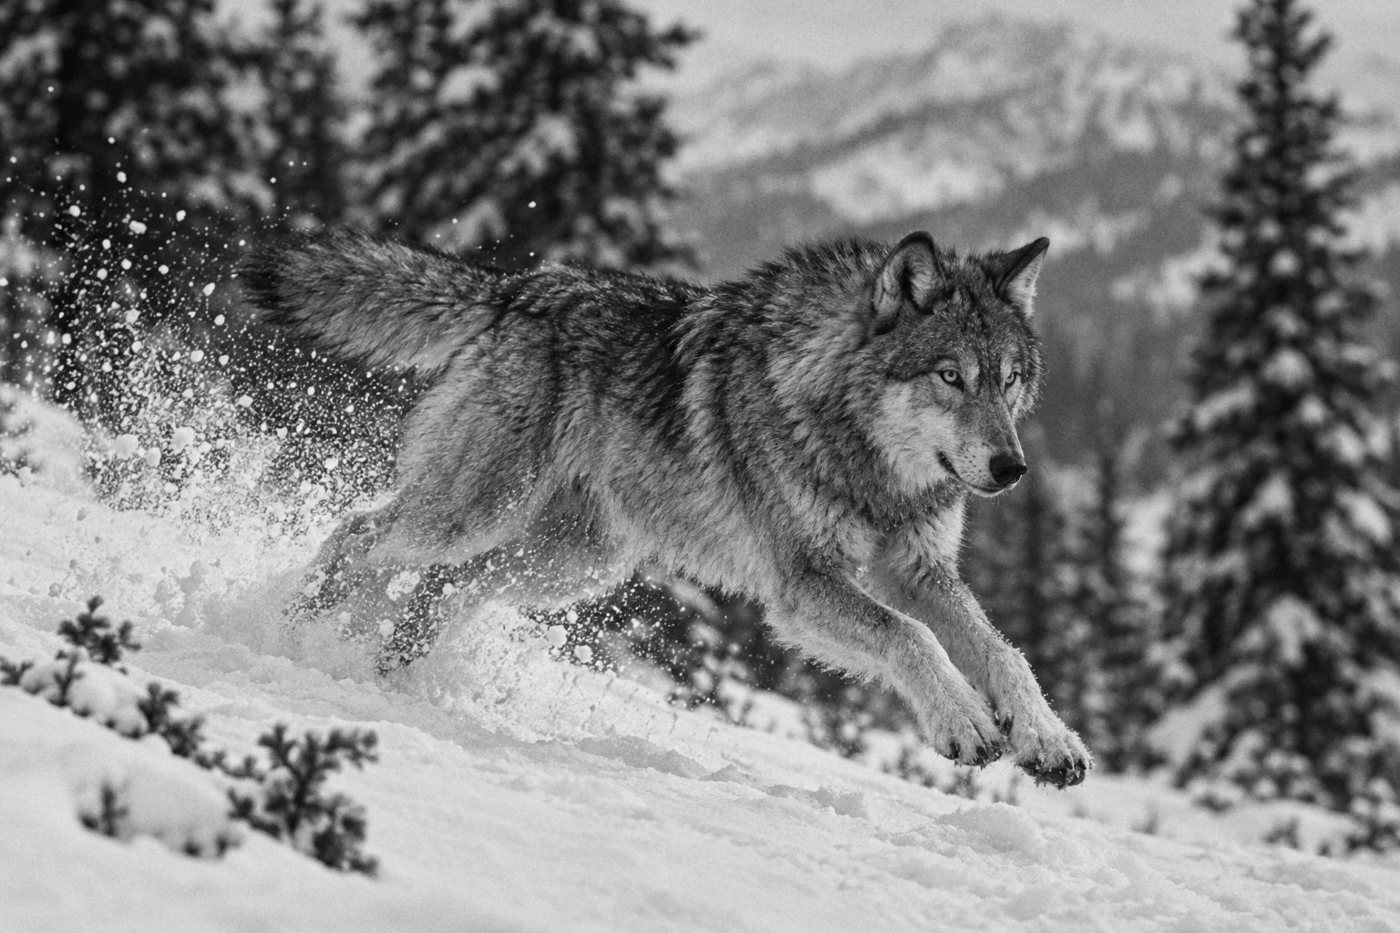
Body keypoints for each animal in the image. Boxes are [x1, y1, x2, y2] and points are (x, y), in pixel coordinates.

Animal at [241, 229, 1091, 787]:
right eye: (950, 375)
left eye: (1009, 379)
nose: (1011, 467)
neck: (862, 454)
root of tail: (515, 289)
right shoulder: (803, 585)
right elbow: (912, 638)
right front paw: (964, 724)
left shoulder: (917, 570)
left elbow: (1001, 651)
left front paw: (1047, 737)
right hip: (474, 513)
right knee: (356, 533)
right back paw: (293, 632)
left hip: (566, 565)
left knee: (436, 589)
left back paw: (382, 671)